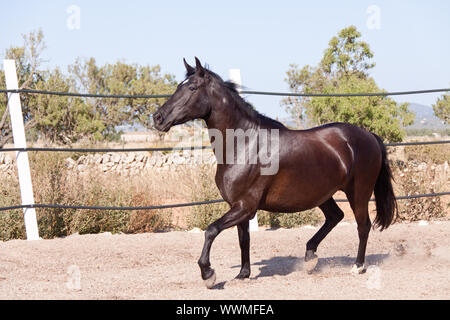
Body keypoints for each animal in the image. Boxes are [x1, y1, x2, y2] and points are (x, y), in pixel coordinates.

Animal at [153, 58, 396, 290]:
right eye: (179, 85)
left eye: (192, 87)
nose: (157, 118)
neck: (244, 145)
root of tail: (369, 136)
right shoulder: (239, 207)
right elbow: (243, 239)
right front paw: (243, 274)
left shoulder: (245, 206)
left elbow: (211, 230)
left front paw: (208, 275)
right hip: (322, 194)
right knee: (335, 216)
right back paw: (310, 257)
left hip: (359, 193)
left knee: (363, 226)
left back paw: (357, 266)